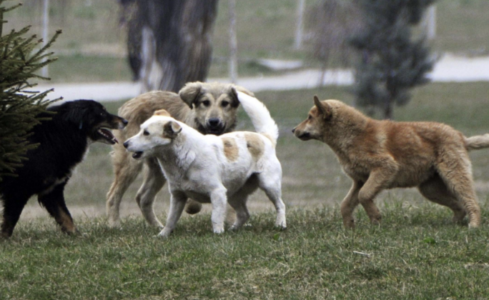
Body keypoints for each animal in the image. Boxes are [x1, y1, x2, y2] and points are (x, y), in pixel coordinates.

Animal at [0, 99, 126, 238]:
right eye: (102, 113)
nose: (125, 121)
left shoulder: (52, 190)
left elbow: (65, 216)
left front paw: (76, 236)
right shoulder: (17, 190)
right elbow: (10, 220)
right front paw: (4, 239)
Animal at [106, 81, 252, 227]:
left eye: (225, 103)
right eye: (205, 102)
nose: (214, 121)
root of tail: (130, 102)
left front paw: (232, 222)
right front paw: (192, 206)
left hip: (158, 170)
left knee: (142, 198)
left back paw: (156, 226)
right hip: (130, 164)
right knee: (113, 195)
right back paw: (115, 224)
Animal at [123, 91, 286, 237]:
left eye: (146, 133)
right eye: (140, 129)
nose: (125, 143)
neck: (184, 157)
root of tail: (265, 137)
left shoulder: (217, 193)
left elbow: (215, 217)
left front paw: (218, 234)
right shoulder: (177, 197)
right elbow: (171, 219)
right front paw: (162, 235)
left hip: (268, 185)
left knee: (280, 205)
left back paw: (280, 225)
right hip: (233, 195)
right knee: (244, 214)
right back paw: (233, 230)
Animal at [292, 97, 486, 229]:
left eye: (309, 117)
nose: (293, 130)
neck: (352, 135)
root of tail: (461, 137)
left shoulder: (385, 167)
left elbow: (364, 196)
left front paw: (375, 219)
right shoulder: (360, 180)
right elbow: (346, 204)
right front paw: (349, 227)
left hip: (454, 175)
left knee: (471, 202)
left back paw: (474, 225)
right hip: (430, 189)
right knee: (459, 206)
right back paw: (453, 224)